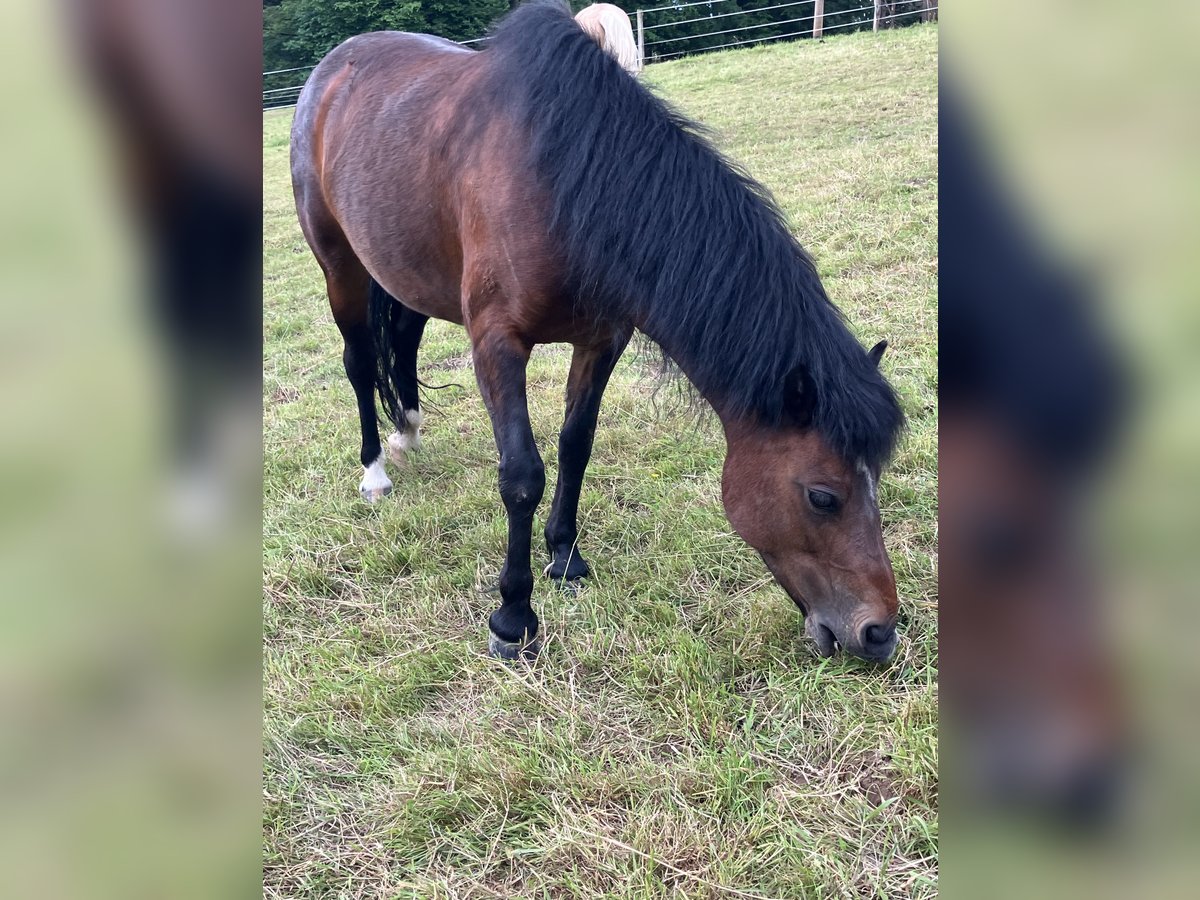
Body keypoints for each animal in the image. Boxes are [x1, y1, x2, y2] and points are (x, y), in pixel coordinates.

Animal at [290, 0, 902, 662]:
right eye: (822, 496)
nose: (880, 632)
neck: (562, 185)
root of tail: (335, 66)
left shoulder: (602, 340)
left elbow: (575, 445)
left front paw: (564, 555)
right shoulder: (497, 344)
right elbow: (522, 475)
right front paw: (513, 617)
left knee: (402, 338)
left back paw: (407, 432)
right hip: (339, 265)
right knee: (358, 363)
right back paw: (375, 471)